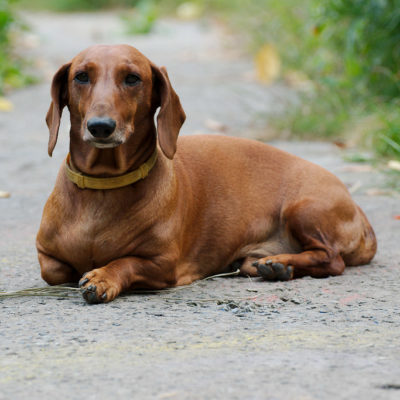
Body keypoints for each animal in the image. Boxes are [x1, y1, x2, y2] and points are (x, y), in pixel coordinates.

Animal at [36, 44, 376, 304]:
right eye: (81, 76)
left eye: (133, 78)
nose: (101, 127)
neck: (104, 187)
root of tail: (358, 209)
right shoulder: (46, 256)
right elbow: (54, 271)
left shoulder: (163, 265)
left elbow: (126, 262)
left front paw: (104, 276)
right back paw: (275, 265)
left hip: (303, 208)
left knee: (332, 258)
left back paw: (280, 264)